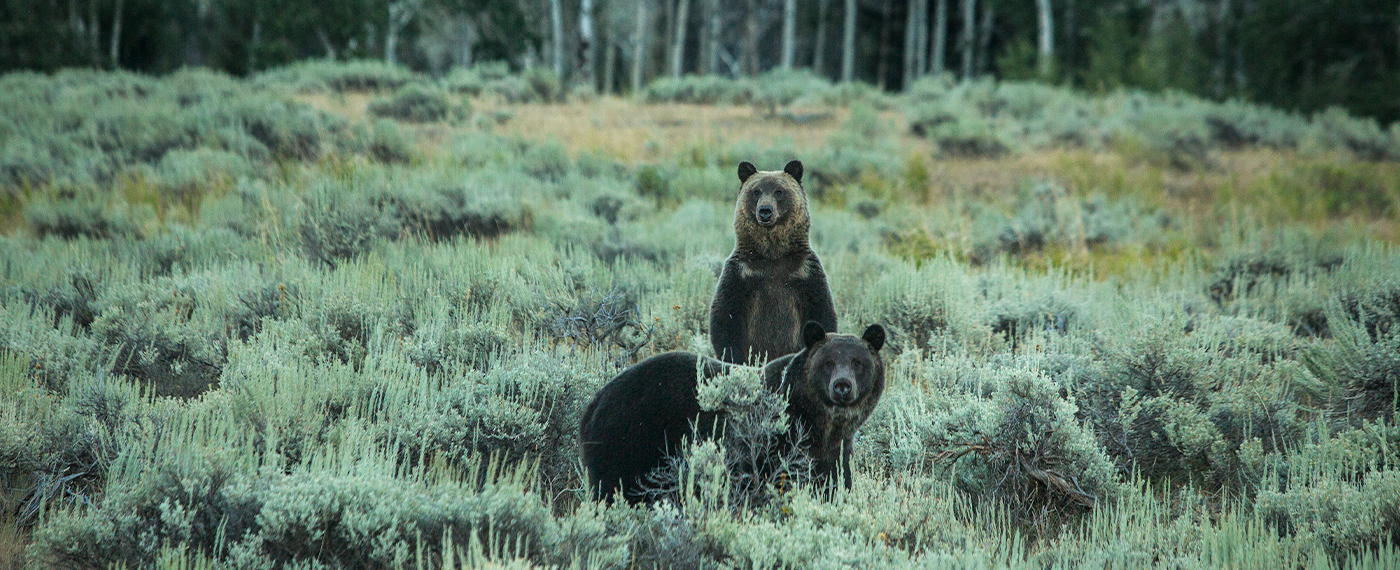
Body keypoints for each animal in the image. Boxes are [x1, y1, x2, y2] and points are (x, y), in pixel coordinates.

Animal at [579, 321, 886, 503]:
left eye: (857, 362)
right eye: (828, 362)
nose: (842, 385)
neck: (817, 423)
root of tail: (592, 404)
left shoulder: (834, 449)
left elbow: (833, 482)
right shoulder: (770, 440)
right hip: (629, 439)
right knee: (613, 488)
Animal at [710, 160, 838, 365]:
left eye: (779, 191)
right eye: (756, 191)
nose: (765, 211)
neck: (772, 255)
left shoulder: (805, 271)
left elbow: (821, 311)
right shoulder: (741, 272)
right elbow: (725, 315)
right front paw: (735, 358)